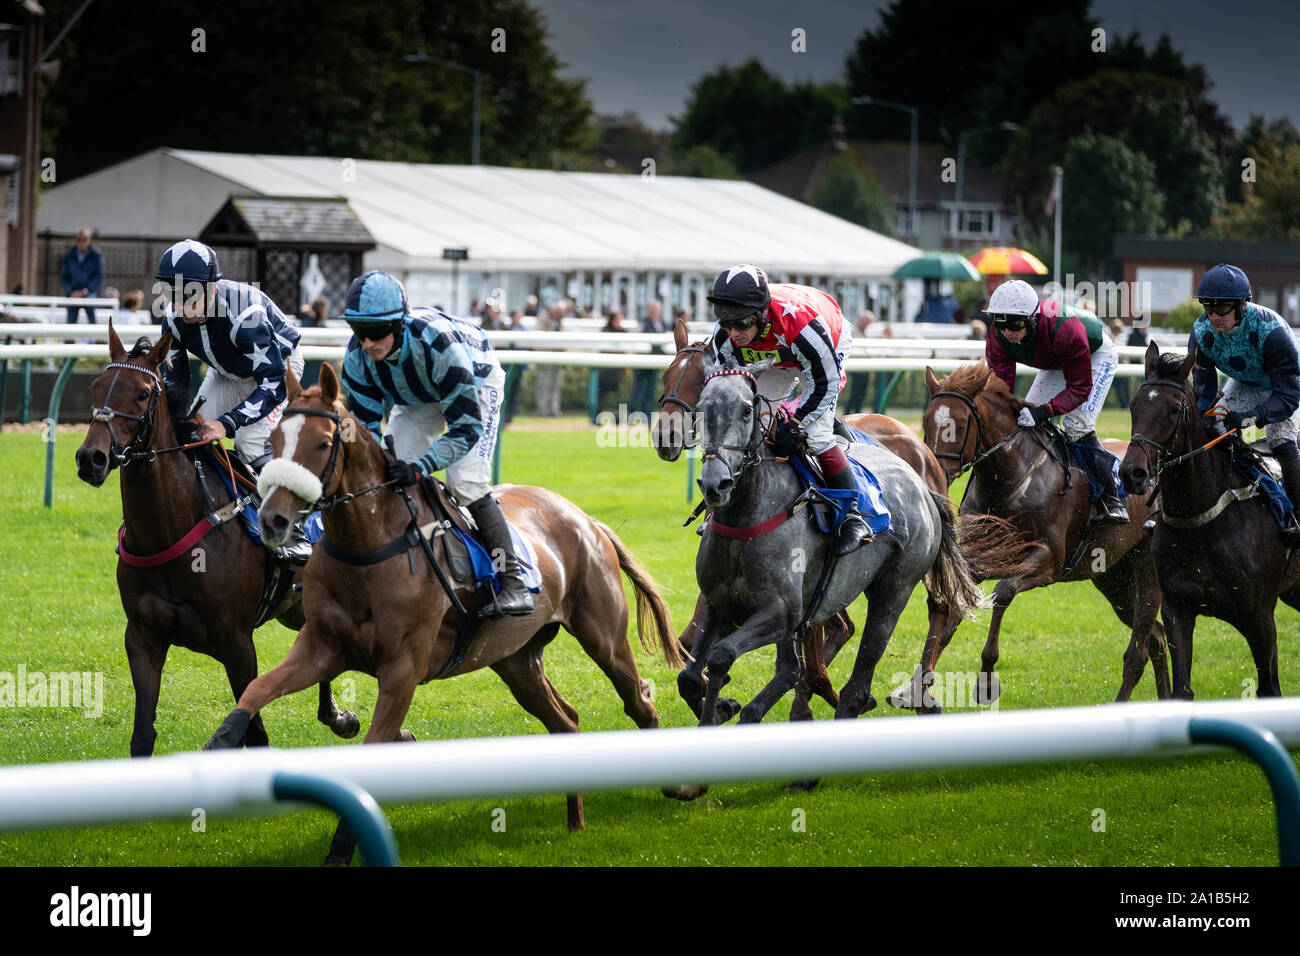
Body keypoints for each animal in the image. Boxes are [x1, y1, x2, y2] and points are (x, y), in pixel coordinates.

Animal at [73, 325, 358, 759]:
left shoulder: (238, 646)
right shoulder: (141, 637)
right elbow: (142, 736)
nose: (91, 458)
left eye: (142, 392)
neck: (169, 530)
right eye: (95, 387)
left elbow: (255, 734)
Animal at [208, 361, 686, 863]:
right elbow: (256, 690)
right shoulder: (321, 648)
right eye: (275, 440)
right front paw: (217, 746)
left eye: (321, 443)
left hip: (603, 636)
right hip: (515, 659)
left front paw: (340, 850)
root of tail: (585, 518)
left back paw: (680, 786)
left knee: (639, 700)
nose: (274, 519)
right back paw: (575, 820)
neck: (368, 547)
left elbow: (372, 748)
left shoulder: (402, 669)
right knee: (566, 722)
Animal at [920, 358, 1175, 702]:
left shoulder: (1048, 561)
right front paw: (917, 683)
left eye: (958, 426)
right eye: (925, 422)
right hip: (1114, 578)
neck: (1011, 477)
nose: (934, 472)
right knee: (1157, 636)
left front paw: (986, 680)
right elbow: (952, 606)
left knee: (1140, 648)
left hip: (1146, 566)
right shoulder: (979, 557)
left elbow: (1002, 593)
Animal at [1118, 343, 1300, 697]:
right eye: (1134, 405)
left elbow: (1269, 688)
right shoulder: (1177, 610)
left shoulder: (1260, 616)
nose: (1132, 473)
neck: (1201, 519)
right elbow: (1181, 692)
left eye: (1174, 408)